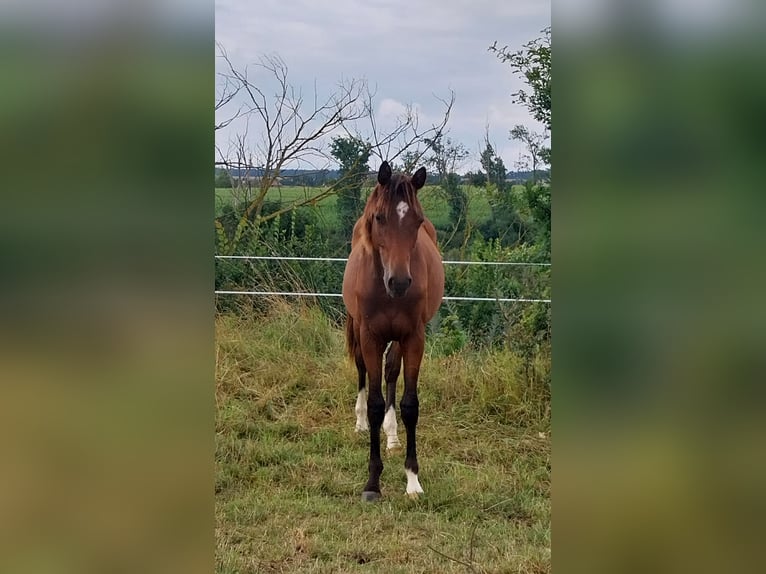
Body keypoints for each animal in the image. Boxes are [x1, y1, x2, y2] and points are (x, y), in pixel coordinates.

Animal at [342, 160, 444, 502]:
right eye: (380, 217)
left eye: (417, 220)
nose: (399, 282)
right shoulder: (370, 336)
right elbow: (374, 402)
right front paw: (372, 482)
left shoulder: (413, 337)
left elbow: (410, 404)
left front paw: (412, 479)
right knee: (363, 370)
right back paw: (360, 422)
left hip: (398, 338)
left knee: (390, 371)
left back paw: (392, 435)